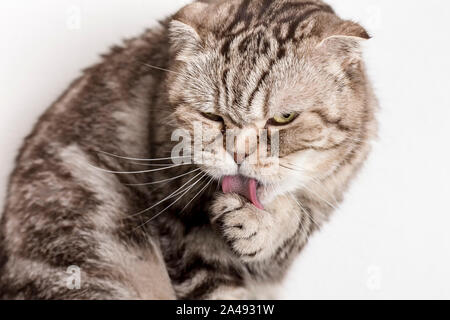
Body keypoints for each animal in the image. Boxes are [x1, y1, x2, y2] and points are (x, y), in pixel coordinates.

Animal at [0, 0, 376, 300]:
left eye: (284, 118)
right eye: (211, 116)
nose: (238, 155)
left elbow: (293, 222)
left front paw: (261, 223)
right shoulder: (182, 239)